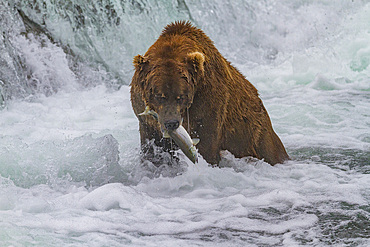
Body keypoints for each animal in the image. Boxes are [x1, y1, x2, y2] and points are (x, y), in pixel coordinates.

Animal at [130, 20, 290, 165]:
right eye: (159, 96)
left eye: (181, 97)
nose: (171, 123)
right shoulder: (145, 120)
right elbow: (152, 147)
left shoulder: (207, 103)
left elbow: (207, 145)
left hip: (255, 136)